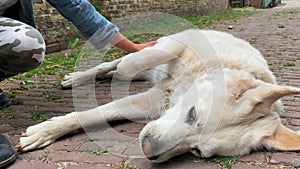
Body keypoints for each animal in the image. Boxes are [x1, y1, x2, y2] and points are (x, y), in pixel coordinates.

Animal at [17, 29, 300, 163]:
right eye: (192, 114)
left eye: (197, 152)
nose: (148, 150)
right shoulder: (175, 45)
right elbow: (143, 57)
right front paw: (44, 131)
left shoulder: (153, 103)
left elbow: (96, 114)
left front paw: (46, 132)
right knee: (115, 64)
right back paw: (79, 77)